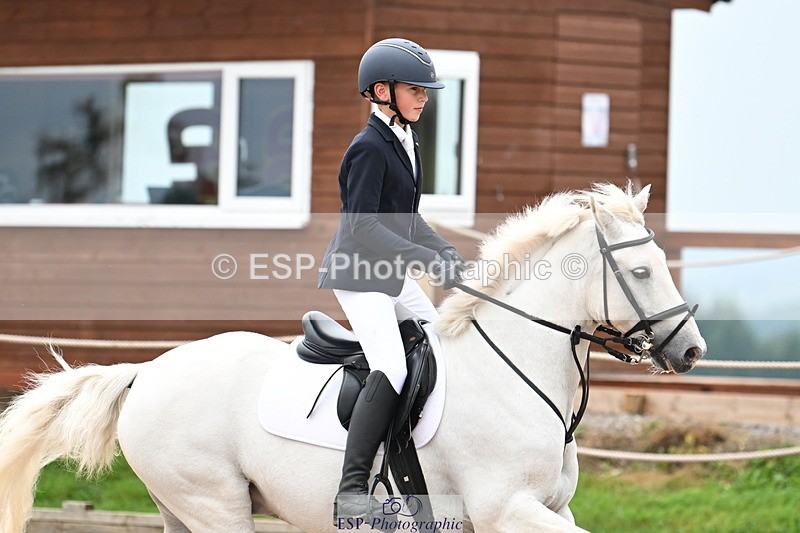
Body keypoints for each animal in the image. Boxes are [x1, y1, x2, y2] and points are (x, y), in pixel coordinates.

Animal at [0, 183, 706, 533]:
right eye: (642, 270)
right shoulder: (507, 509)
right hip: (214, 504)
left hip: (181, 507)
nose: (692, 350)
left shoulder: (546, 509)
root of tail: (149, 370)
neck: (514, 372)